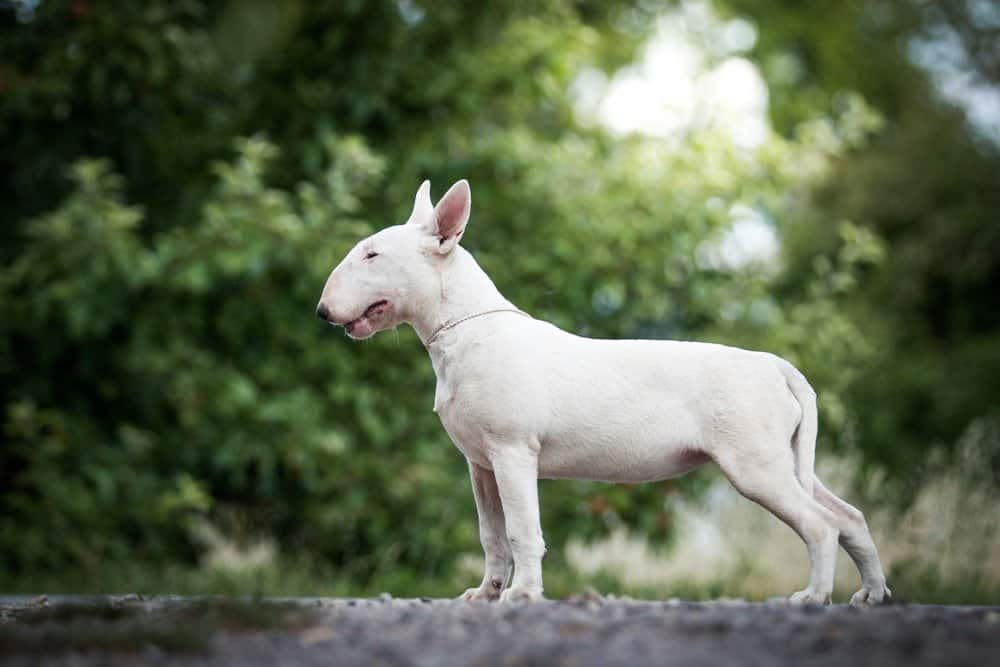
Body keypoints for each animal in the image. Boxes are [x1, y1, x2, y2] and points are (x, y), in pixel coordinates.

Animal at [314, 179, 892, 604]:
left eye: (372, 255)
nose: (321, 311)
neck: (466, 329)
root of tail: (776, 366)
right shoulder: (480, 465)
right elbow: (492, 534)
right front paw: (485, 594)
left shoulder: (512, 451)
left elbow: (522, 529)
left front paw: (524, 595)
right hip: (785, 460)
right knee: (849, 517)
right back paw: (870, 595)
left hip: (756, 465)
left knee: (820, 525)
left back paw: (812, 598)